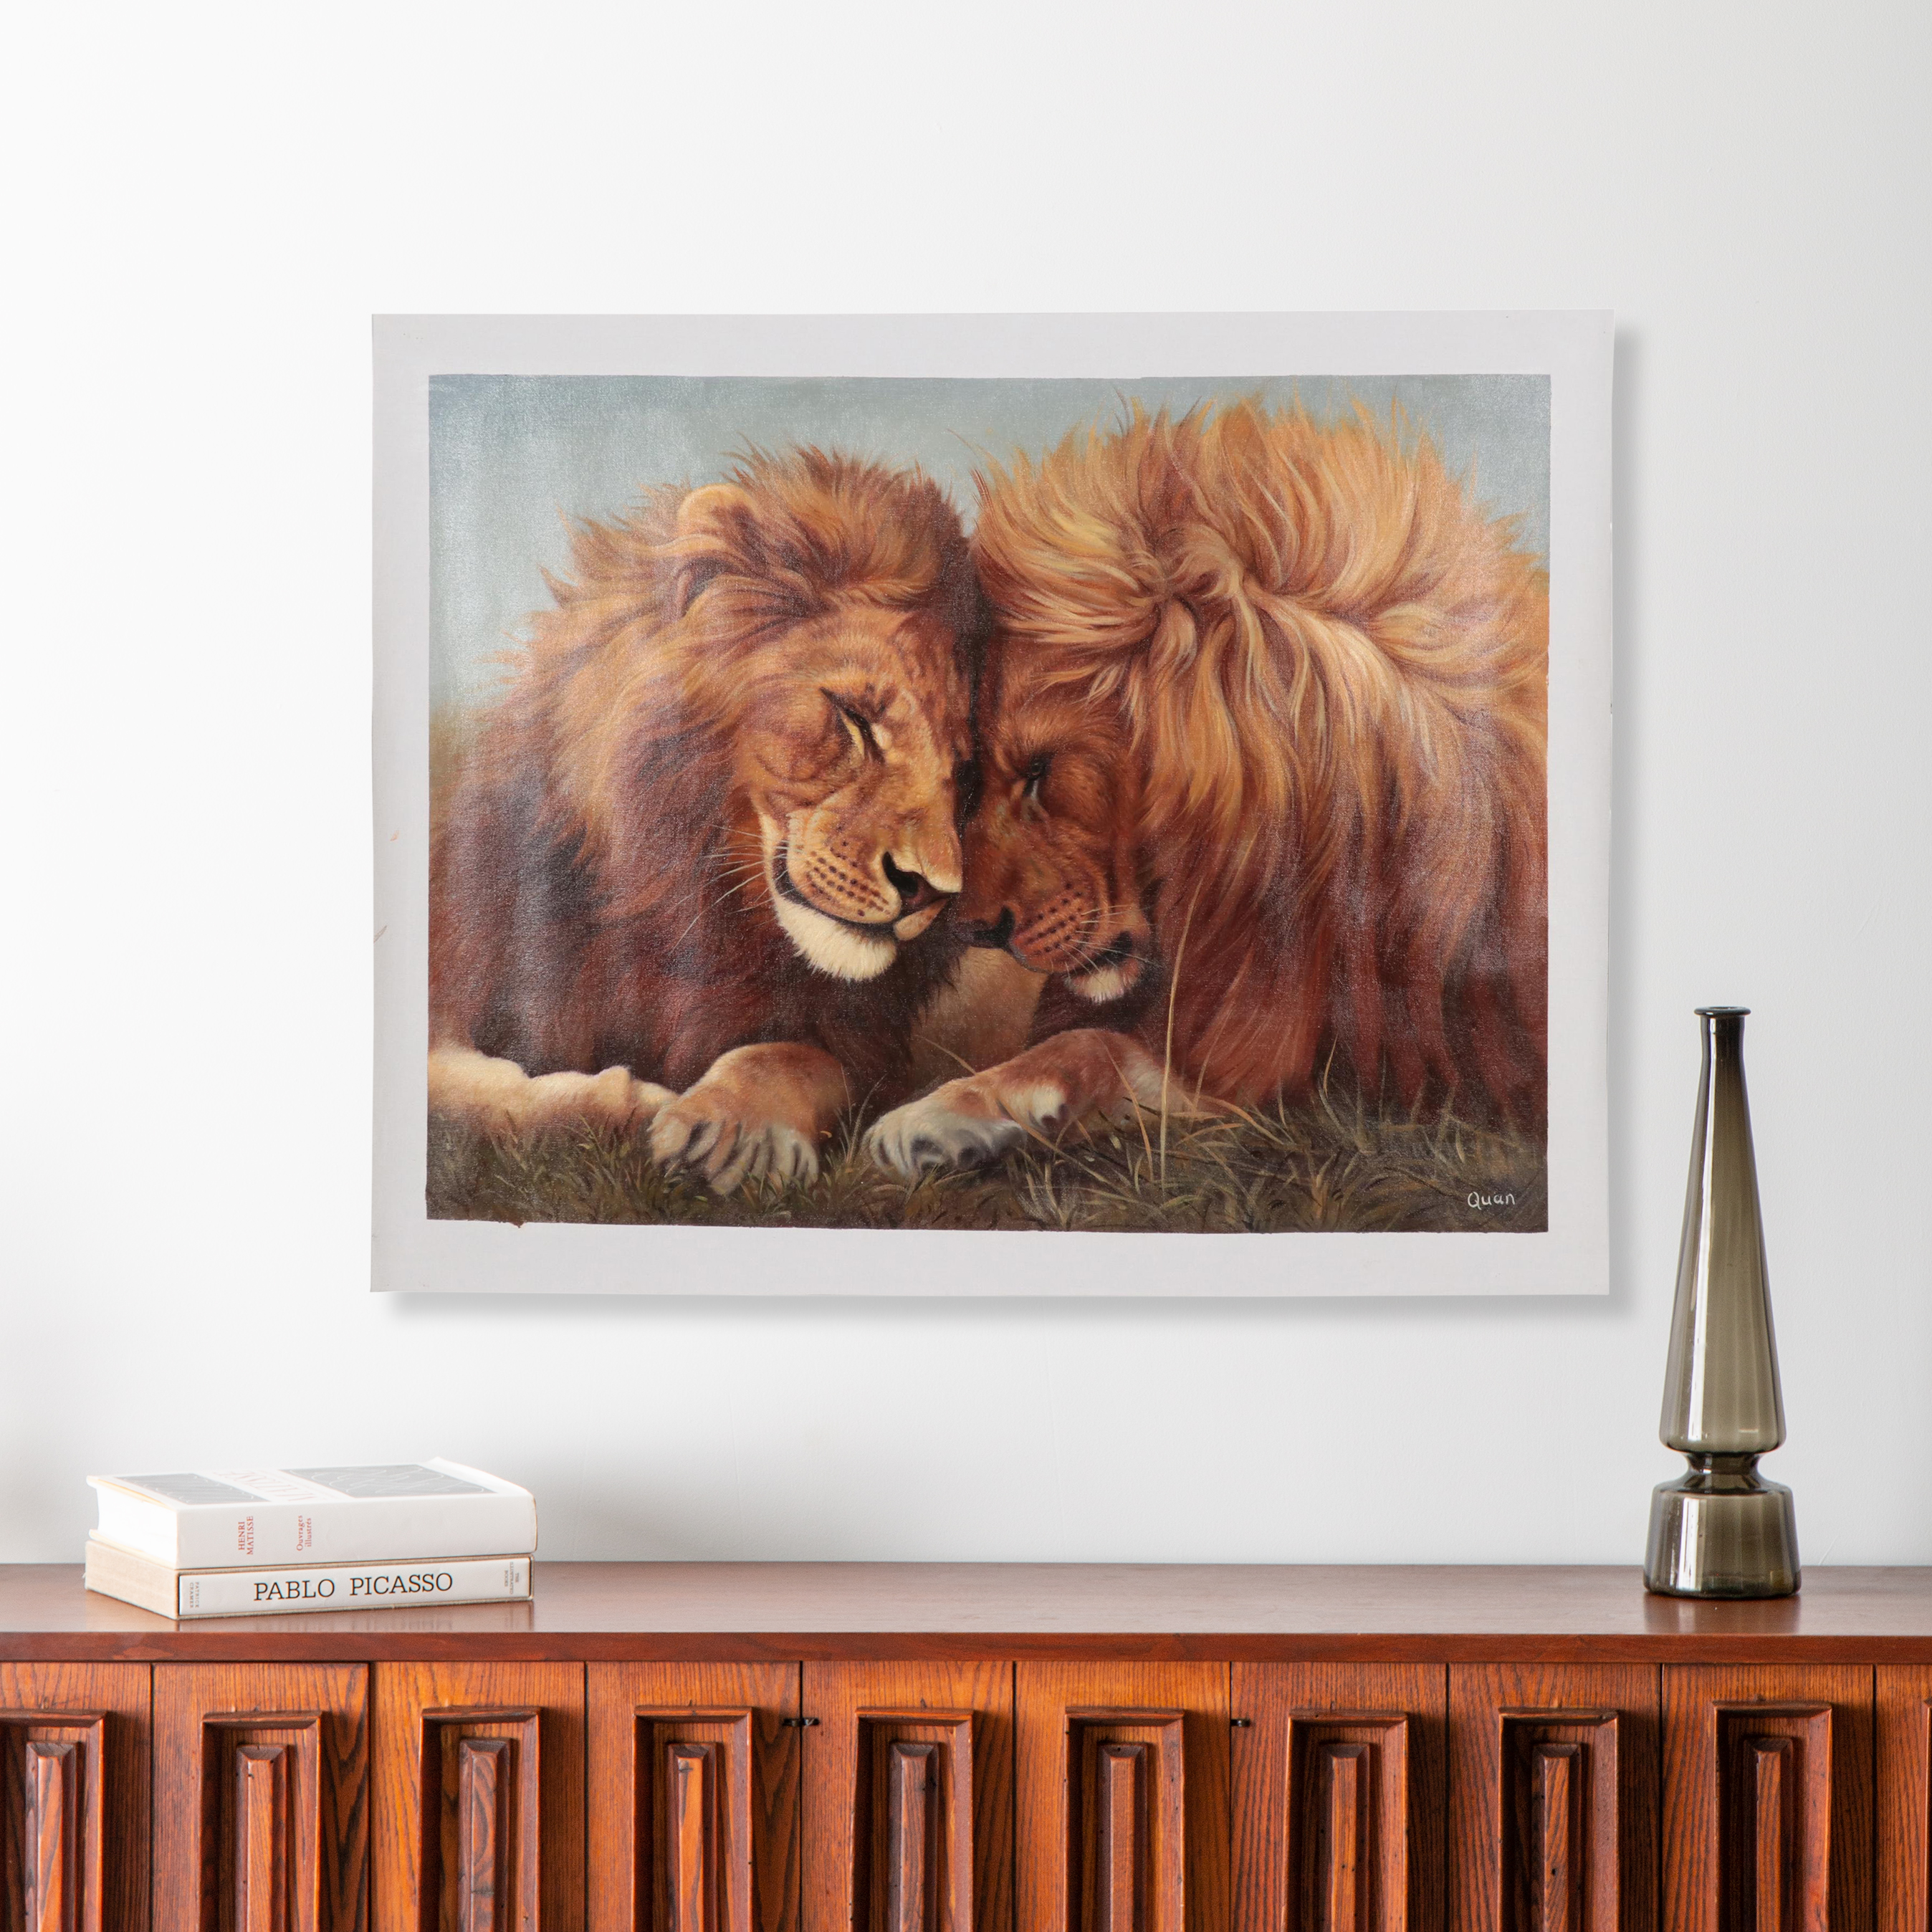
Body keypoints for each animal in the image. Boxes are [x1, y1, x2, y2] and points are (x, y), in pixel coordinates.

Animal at [431, 447, 982, 1195]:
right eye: (856, 719)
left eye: (964, 773)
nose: (932, 891)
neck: (690, 899)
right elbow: (462, 1095)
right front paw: (627, 1104)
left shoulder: (862, 1043)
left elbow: (789, 1056)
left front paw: (728, 1129)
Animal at [866, 399, 1548, 1177]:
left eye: (1039, 770)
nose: (970, 929)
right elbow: (1093, 1043)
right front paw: (952, 1113)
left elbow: (1086, 1043)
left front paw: (933, 1113)